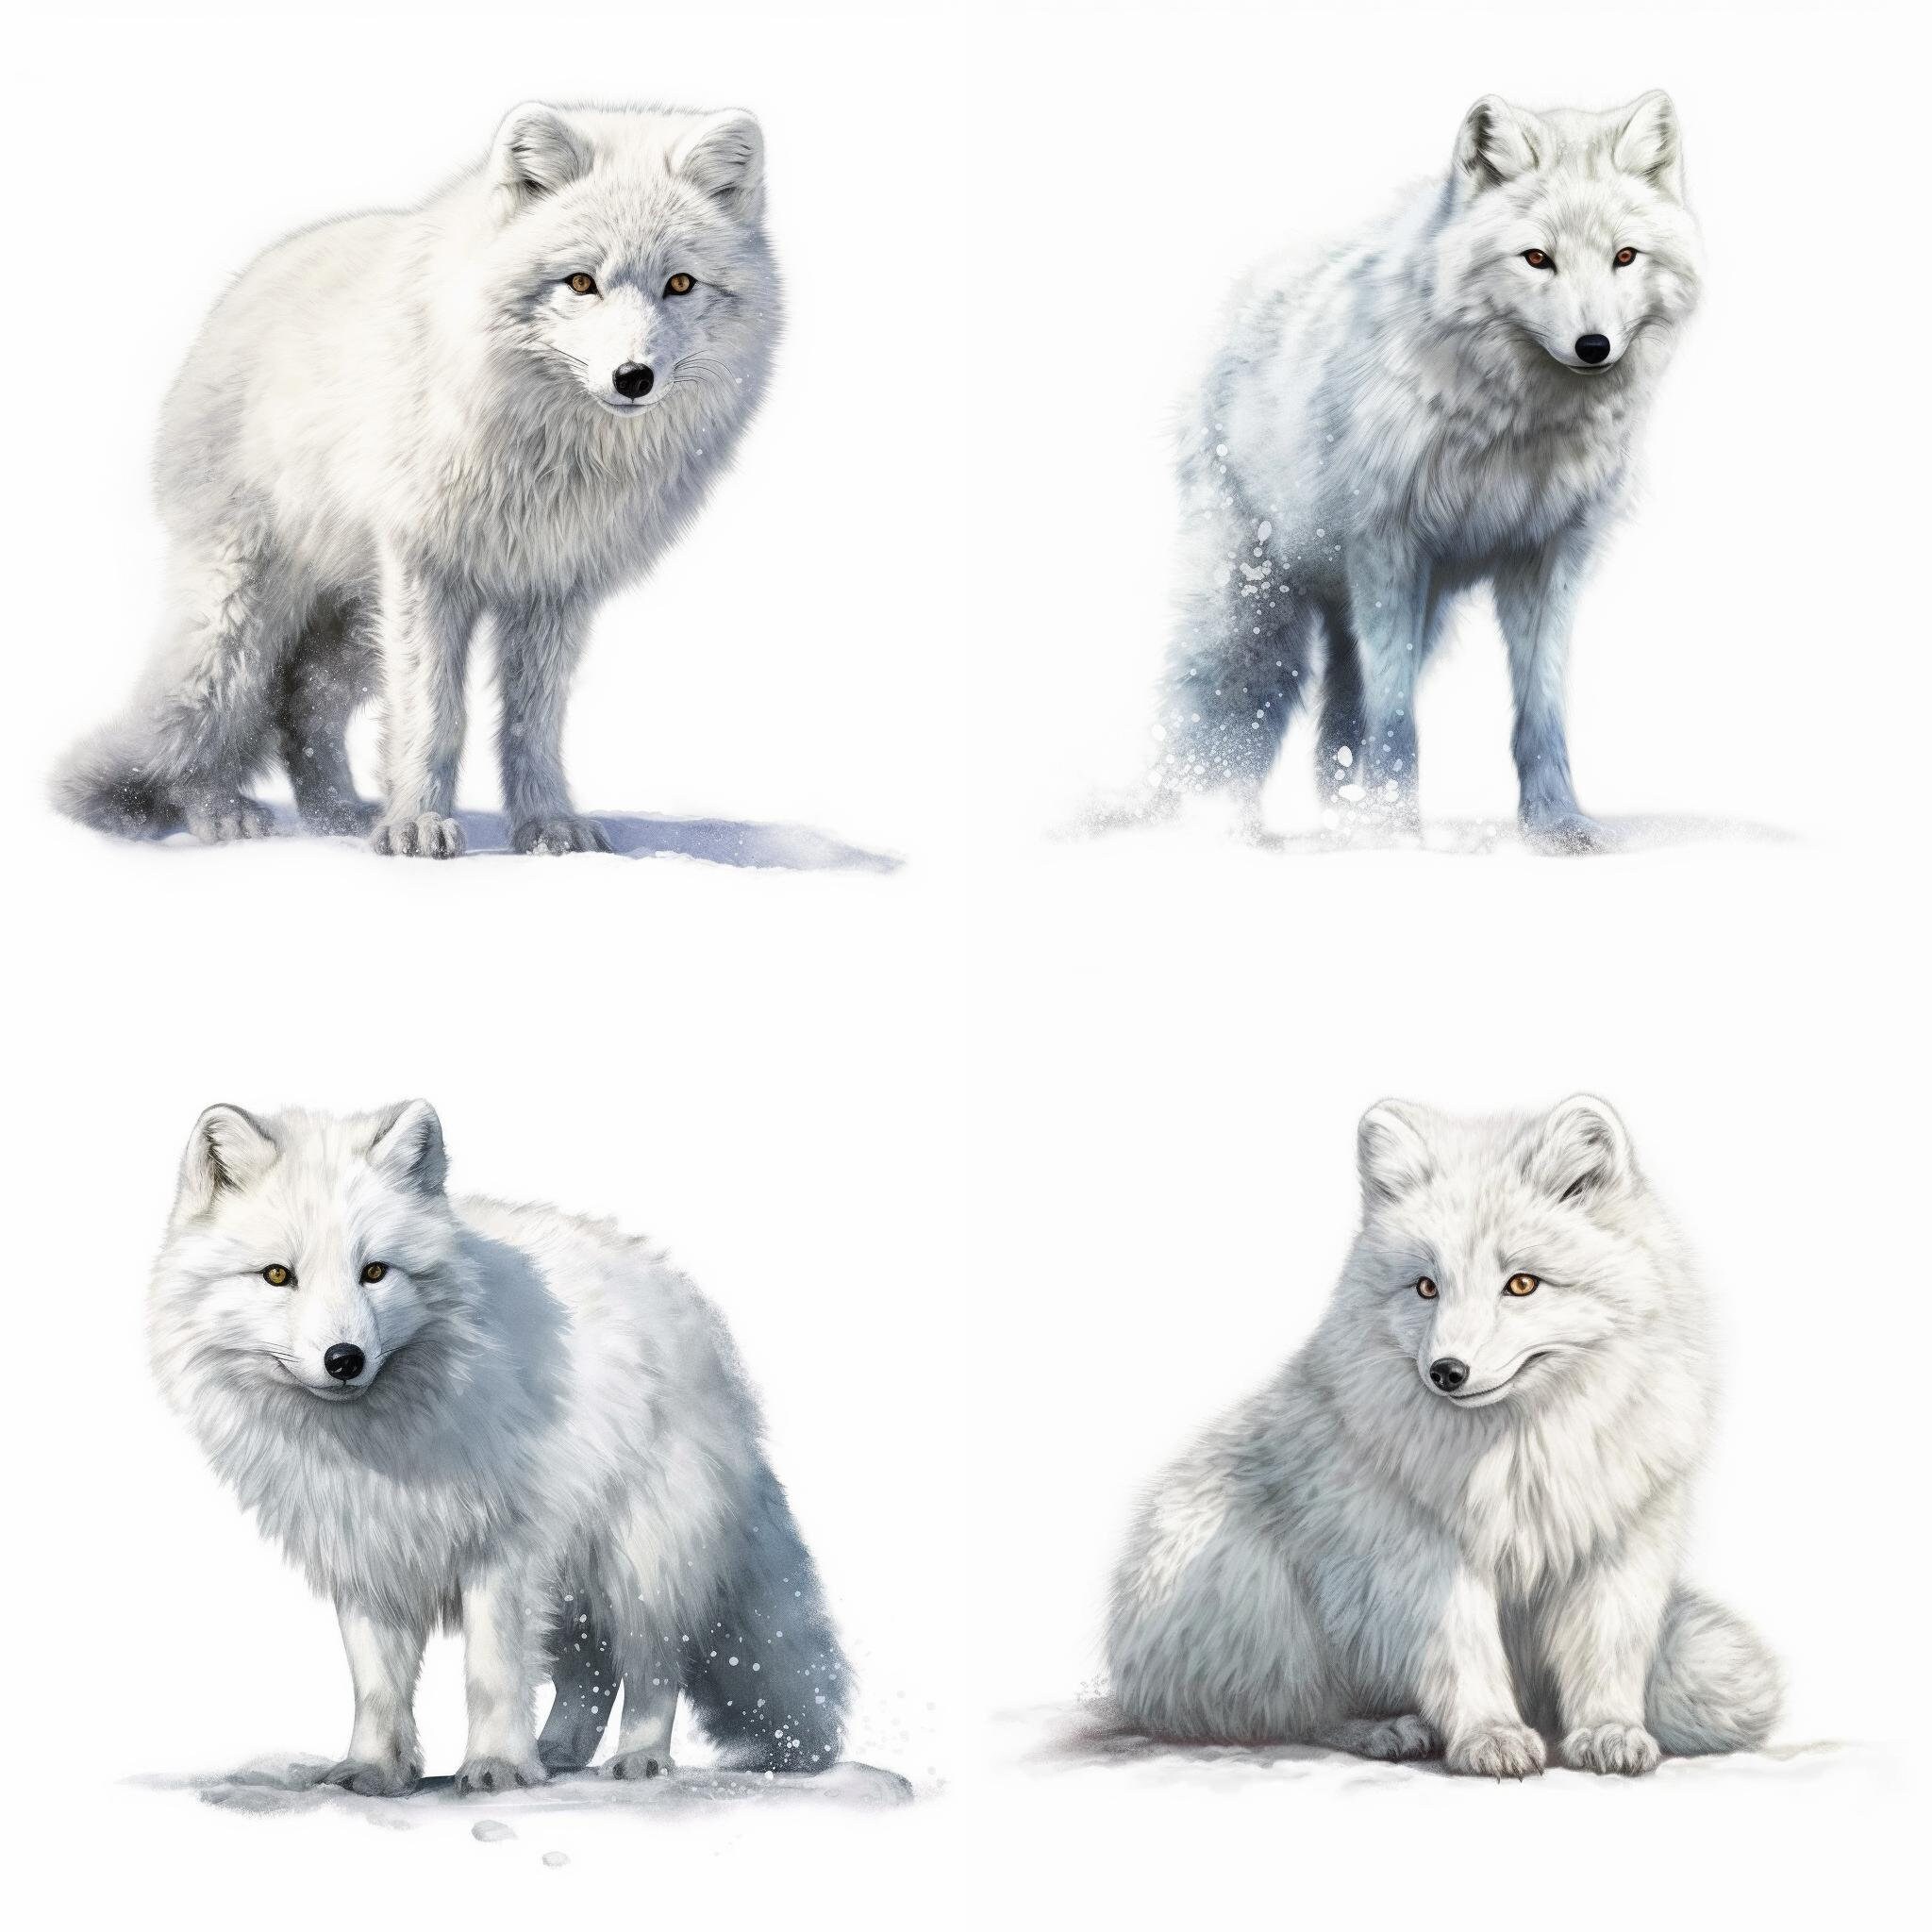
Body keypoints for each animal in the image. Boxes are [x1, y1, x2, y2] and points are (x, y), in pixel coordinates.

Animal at [56, 102, 779, 858]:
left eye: (681, 284)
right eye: (582, 282)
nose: (633, 377)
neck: (550, 456)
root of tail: (242, 289)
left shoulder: (555, 586)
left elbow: (532, 725)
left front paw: (548, 827)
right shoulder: (428, 567)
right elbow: (434, 712)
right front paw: (417, 828)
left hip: (356, 629)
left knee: (299, 705)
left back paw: (338, 818)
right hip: (246, 615)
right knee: (209, 717)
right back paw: (221, 813)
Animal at [147, 1100, 848, 1794]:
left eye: (374, 1272)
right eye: (277, 1276)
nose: (344, 1359)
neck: (380, 1443)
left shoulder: (504, 1552)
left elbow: (493, 1674)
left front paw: (497, 1766)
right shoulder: (368, 1554)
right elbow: (377, 1688)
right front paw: (373, 1769)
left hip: (637, 1560)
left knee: (652, 1665)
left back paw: (639, 1757)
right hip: (574, 1585)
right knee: (592, 1672)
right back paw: (559, 1753)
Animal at [1106, 1096, 1781, 1777]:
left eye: (1522, 1284)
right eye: (1426, 1287)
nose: (1446, 1372)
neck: (1521, 1455)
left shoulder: (1619, 1543)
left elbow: (1608, 1651)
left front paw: (1609, 1731)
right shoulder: (1420, 1556)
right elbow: (1463, 1653)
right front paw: (1491, 1737)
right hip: (1255, 1592)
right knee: (1290, 1714)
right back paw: (1385, 1729)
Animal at [1148, 93, 1702, 851]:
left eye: (1624, 256)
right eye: (1537, 258)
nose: (1595, 347)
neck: (1514, 428)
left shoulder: (1549, 556)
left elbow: (1540, 713)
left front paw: (1557, 827)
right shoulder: (1388, 551)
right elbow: (1397, 719)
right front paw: (1397, 832)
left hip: (1410, 610)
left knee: (1337, 722)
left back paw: (1341, 815)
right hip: (1258, 609)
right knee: (1220, 707)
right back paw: (1214, 822)